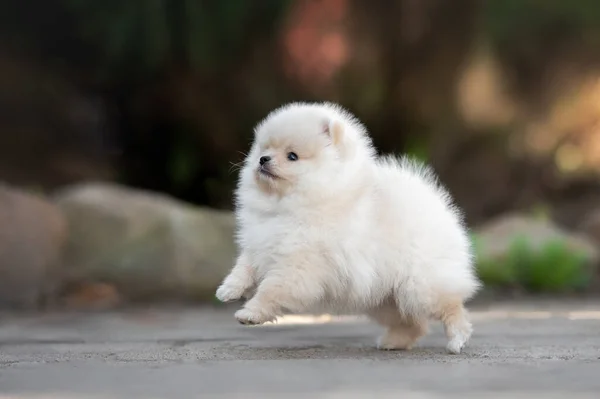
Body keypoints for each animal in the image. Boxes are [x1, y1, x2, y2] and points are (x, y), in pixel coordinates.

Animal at [217, 101, 482, 354]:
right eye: (264, 149)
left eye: (292, 156)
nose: (263, 160)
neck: (285, 205)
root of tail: (436, 203)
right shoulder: (261, 243)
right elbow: (244, 268)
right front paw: (228, 289)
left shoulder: (299, 265)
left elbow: (271, 289)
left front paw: (250, 313)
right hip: (384, 299)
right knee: (414, 323)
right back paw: (393, 342)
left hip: (421, 286)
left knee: (450, 306)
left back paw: (457, 339)